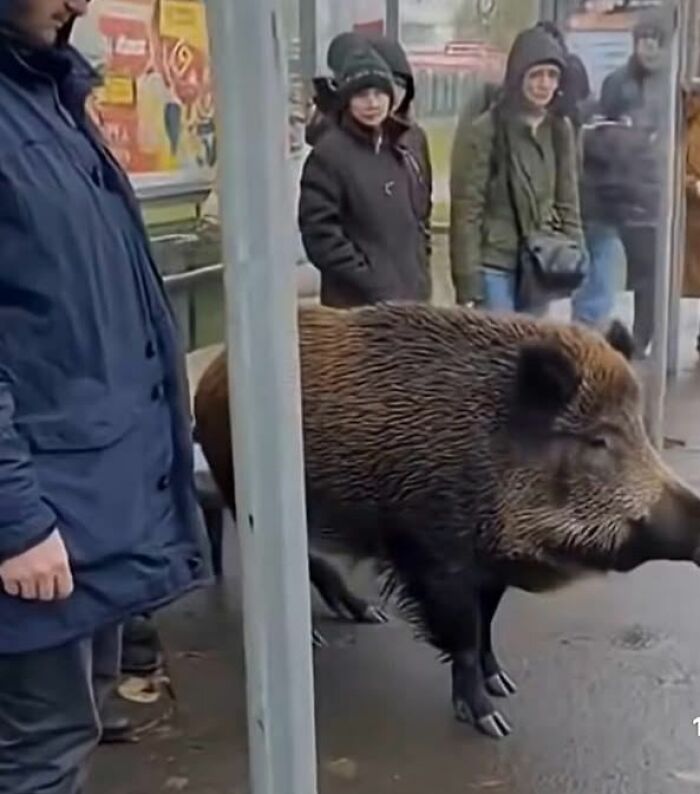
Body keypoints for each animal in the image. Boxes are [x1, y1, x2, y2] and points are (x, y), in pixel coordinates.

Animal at [193, 302, 700, 740]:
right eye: (598, 440)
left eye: (640, 428)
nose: (695, 514)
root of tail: (213, 371)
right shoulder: (434, 557)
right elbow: (464, 636)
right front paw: (492, 723)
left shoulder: (489, 564)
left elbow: (487, 623)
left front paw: (504, 683)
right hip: (243, 489)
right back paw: (324, 634)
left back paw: (368, 615)